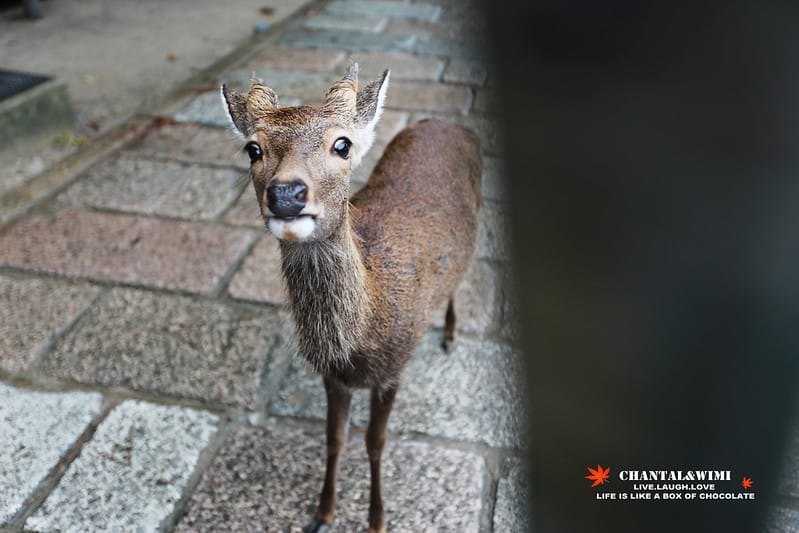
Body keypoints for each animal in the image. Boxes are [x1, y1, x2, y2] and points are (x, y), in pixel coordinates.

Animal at [221, 63, 482, 533]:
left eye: (342, 145)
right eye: (253, 149)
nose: (286, 194)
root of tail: (448, 123)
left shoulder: (394, 369)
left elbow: (376, 443)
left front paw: (377, 519)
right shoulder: (332, 377)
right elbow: (334, 439)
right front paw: (322, 514)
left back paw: (451, 334)